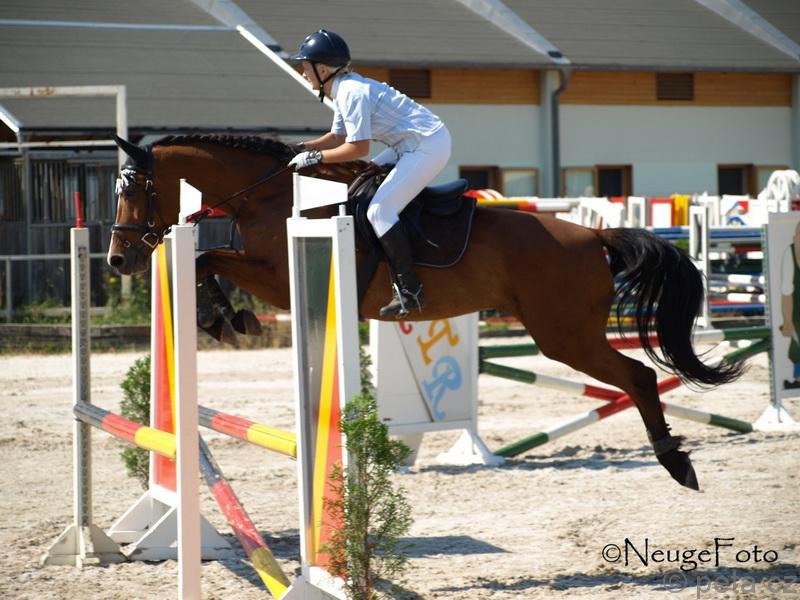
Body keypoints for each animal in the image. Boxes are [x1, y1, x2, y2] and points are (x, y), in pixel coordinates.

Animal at [107, 134, 743, 491]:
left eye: (133, 189)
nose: (118, 260)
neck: (268, 195)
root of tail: (593, 235)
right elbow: (206, 257)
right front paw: (223, 317)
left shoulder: (281, 275)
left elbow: (207, 256)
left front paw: (224, 317)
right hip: (564, 333)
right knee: (637, 377)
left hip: (564, 336)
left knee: (637, 377)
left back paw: (676, 464)